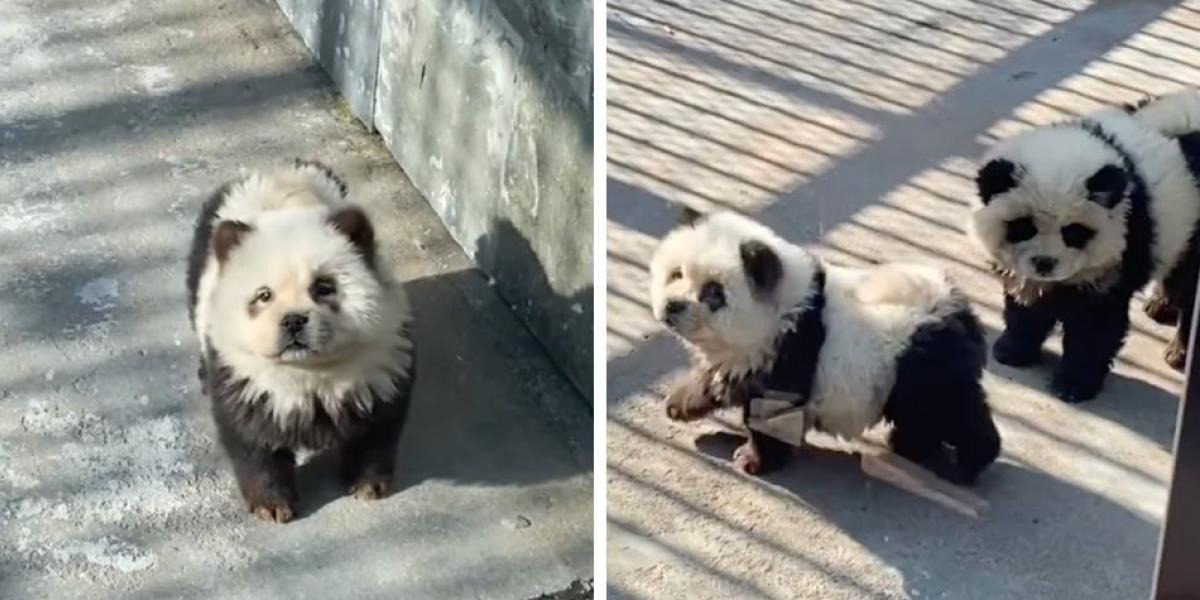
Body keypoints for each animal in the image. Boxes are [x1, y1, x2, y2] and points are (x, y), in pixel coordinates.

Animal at [184, 158, 415, 520]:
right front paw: (272, 505)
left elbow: (376, 428)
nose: (293, 321)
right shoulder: (246, 379)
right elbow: (253, 441)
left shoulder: (380, 363)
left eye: (324, 287)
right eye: (263, 295)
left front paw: (367, 485)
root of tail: (276, 170)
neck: (309, 372)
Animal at [652, 210, 998, 482]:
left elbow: (772, 414)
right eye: (676, 273)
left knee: (951, 411)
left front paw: (754, 460)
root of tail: (960, 310)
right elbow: (720, 376)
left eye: (714, 292)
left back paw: (971, 461)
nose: (672, 306)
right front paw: (680, 403)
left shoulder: (790, 351)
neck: (785, 308)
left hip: (923, 365)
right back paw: (910, 445)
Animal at [964, 92, 1200, 403]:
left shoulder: (1119, 254)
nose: (1044, 263)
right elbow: (1027, 306)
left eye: (1073, 232)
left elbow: (1095, 327)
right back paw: (1161, 305)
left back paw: (1179, 351)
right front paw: (1012, 350)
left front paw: (1073, 384)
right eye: (1024, 226)